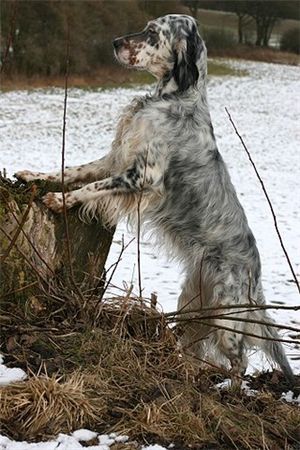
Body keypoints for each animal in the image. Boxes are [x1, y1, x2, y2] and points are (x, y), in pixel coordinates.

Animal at [15, 14, 294, 384]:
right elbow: (72, 170)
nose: (115, 42)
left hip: (226, 313)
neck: (173, 99)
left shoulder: (143, 176)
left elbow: (92, 187)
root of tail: (255, 270)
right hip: (193, 300)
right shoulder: (115, 160)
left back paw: (229, 389)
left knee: (240, 361)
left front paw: (62, 200)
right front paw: (33, 177)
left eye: (151, 33)